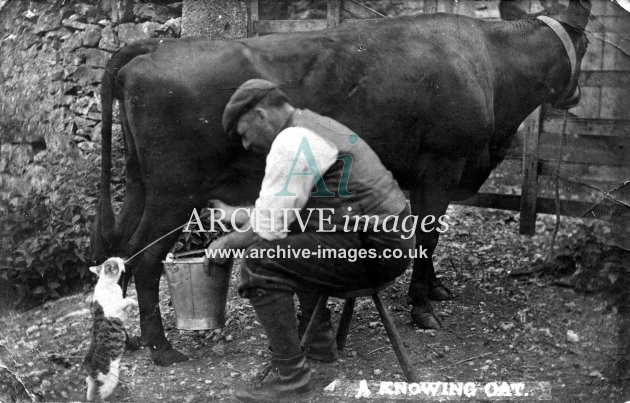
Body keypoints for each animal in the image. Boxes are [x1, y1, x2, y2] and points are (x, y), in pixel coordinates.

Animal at [84, 258, 137, 400]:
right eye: (117, 262)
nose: (121, 259)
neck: (106, 282)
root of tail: (90, 364)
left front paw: (131, 308)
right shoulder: (117, 306)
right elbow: (128, 299)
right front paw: (134, 303)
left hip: (92, 381)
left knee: (90, 386)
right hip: (110, 378)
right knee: (102, 392)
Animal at [92, 0, 592, 366]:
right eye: (586, 45)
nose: (577, 95)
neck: (488, 64)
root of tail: (155, 48)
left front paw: (434, 290)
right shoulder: (440, 171)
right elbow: (427, 237)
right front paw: (423, 306)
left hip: (141, 185)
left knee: (121, 252)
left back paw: (128, 339)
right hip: (175, 193)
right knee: (148, 259)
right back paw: (161, 349)